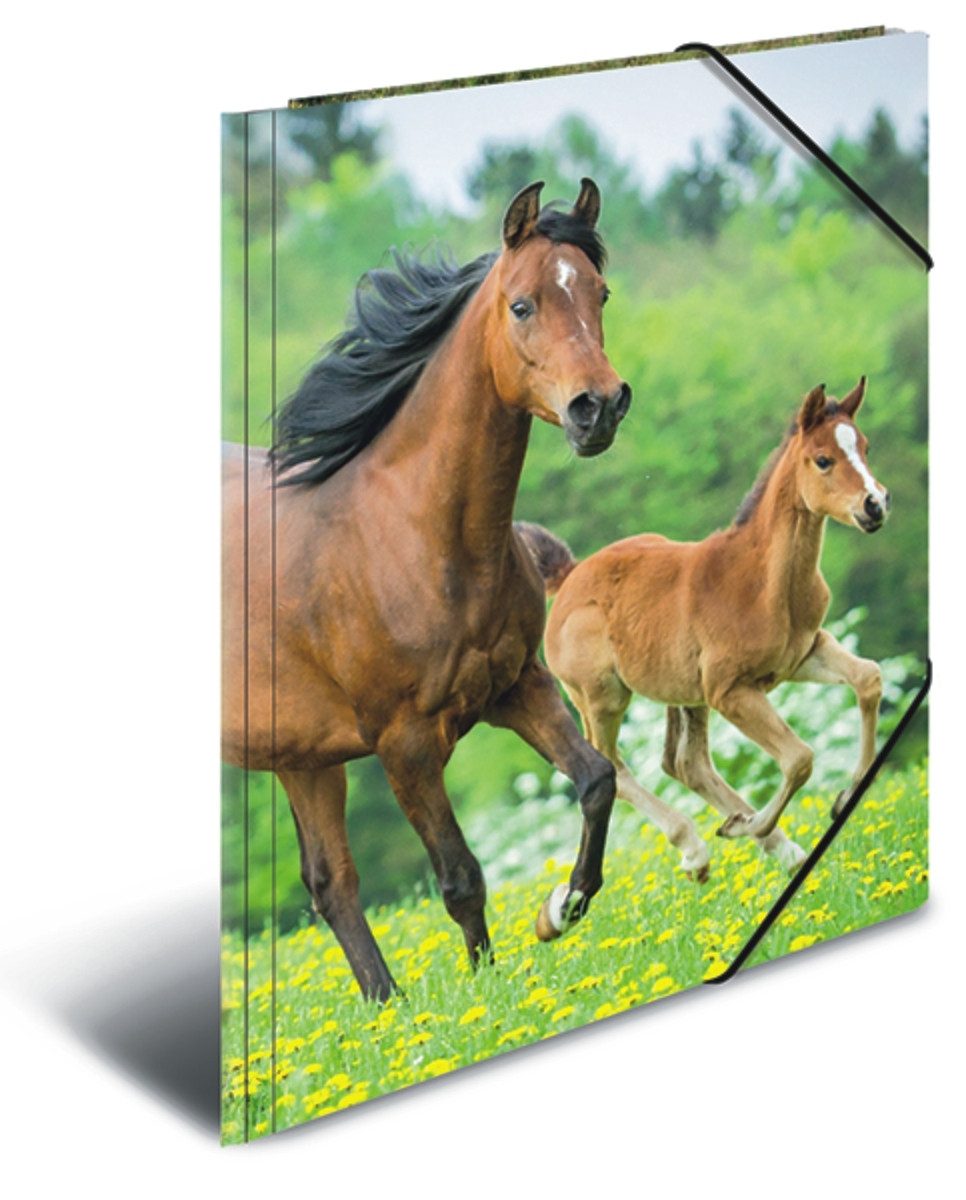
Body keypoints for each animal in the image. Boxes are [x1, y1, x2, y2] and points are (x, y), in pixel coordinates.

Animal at [222, 180, 632, 1000]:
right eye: (522, 304)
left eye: (599, 291)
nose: (598, 407)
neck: (411, 536)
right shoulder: (404, 743)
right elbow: (460, 876)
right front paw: (488, 991)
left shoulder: (517, 687)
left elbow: (597, 780)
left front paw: (560, 909)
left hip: (301, 758)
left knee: (331, 884)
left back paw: (388, 1008)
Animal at [519, 378, 888, 881]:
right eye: (823, 459)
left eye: (865, 447)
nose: (876, 505)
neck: (763, 582)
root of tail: (569, 576)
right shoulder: (729, 690)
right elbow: (800, 758)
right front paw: (750, 825)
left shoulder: (805, 652)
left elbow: (868, 679)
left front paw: (843, 797)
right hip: (601, 697)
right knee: (612, 765)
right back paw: (698, 848)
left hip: (683, 692)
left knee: (684, 763)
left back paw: (778, 846)